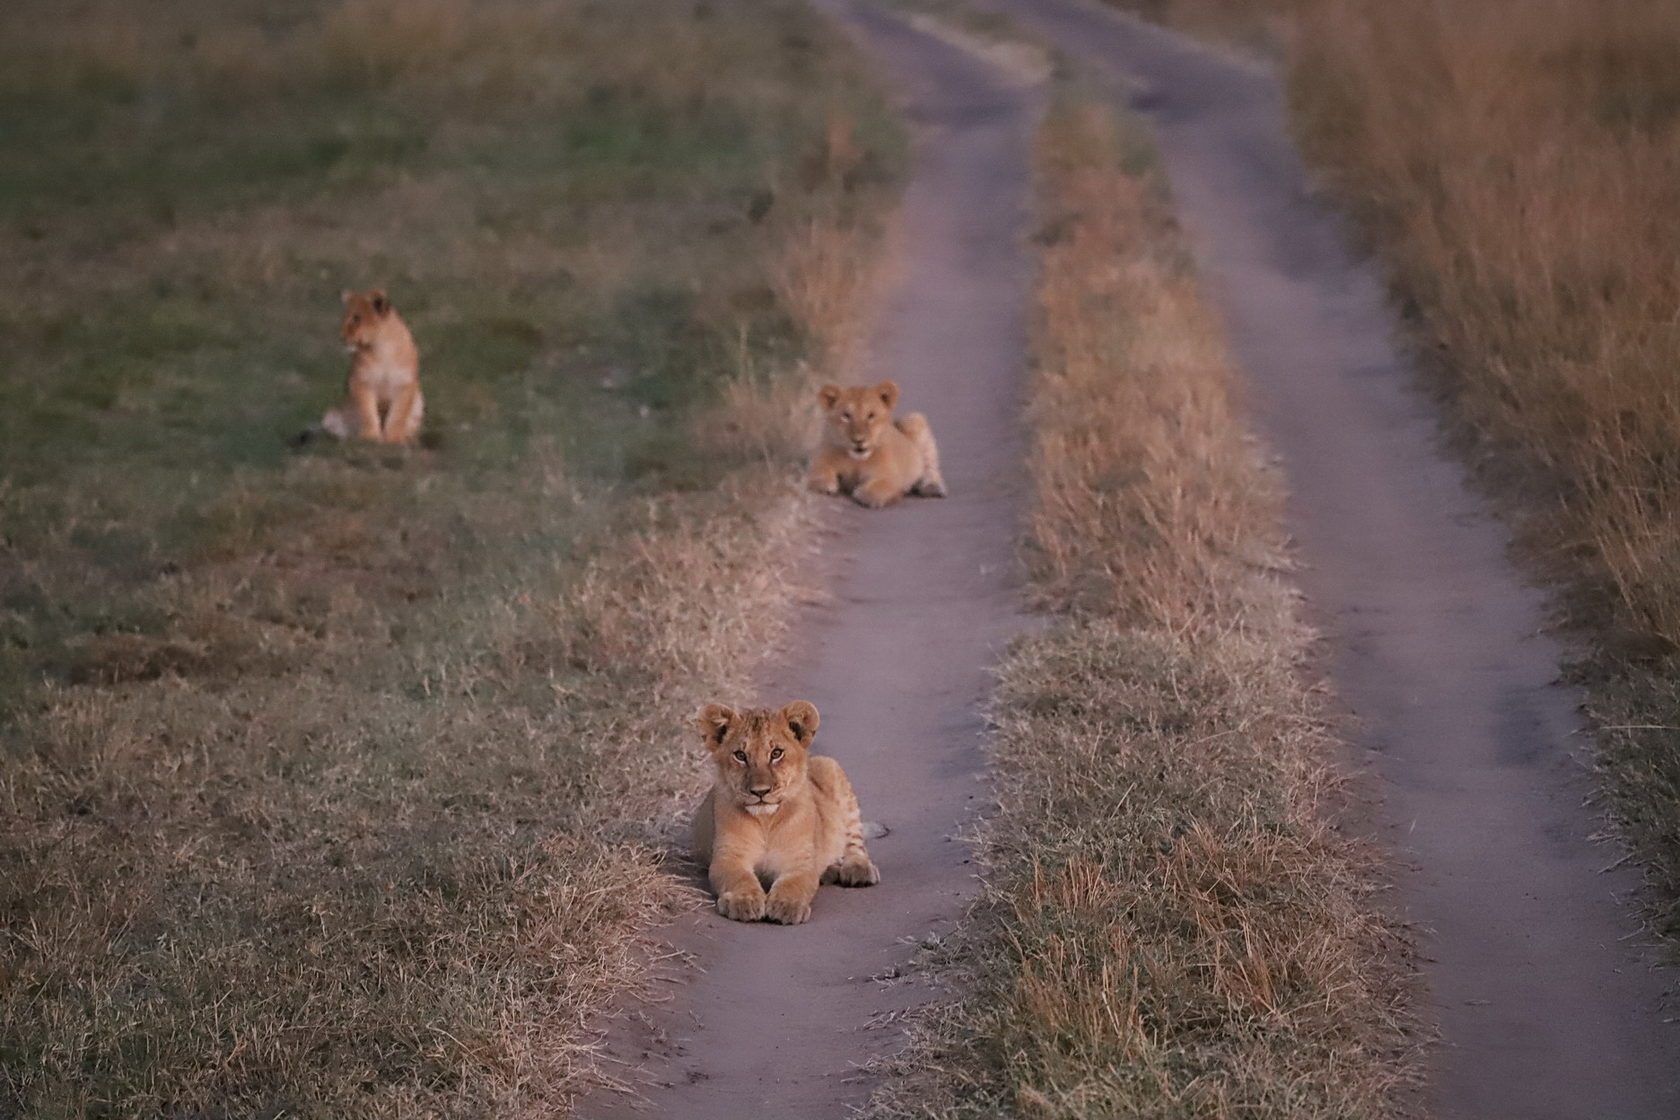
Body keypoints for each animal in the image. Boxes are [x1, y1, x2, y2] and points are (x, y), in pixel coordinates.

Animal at [302, 289, 424, 445]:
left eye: (356, 318)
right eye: (346, 317)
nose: (341, 337)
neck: (381, 349)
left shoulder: (405, 384)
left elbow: (398, 415)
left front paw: (394, 438)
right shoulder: (360, 382)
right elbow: (367, 412)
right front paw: (370, 437)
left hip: (419, 401)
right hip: (331, 414)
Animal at [691, 700, 880, 925]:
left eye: (776, 753)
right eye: (740, 756)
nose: (760, 791)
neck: (766, 820)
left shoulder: (799, 861)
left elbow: (794, 884)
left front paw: (787, 906)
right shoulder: (728, 857)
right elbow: (739, 878)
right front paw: (743, 901)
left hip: (830, 767)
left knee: (854, 839)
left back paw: (858, 869)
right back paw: (830, 871)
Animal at [806, 380, 946, 508]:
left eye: (871, 415)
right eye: (846, 416)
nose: (858, 440)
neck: (856, 461)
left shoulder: (890, 476)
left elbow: (880, 487)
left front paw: (864, 493)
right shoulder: (820, 461)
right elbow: (818, 474)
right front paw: (825, 485)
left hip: (914, 420)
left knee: (930, 468)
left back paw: (932, 487)